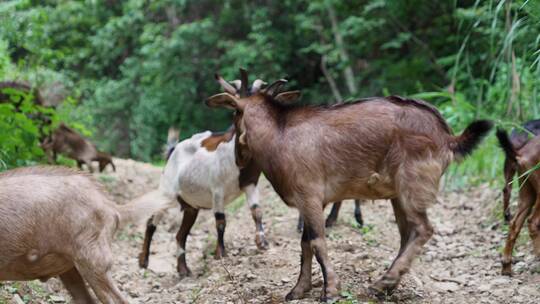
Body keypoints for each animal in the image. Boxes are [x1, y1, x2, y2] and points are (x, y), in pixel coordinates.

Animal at [208, 70, 494, 300]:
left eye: (235, 113)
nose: (238, 157)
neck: (278, 135)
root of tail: (447, 137)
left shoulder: (309, 195)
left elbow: (317, 242)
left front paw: (330, 291)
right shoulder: (311, 201)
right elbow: (304, 244)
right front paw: (298, 289)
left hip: (412, 184)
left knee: (423, 229)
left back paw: (383, 282)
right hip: (399, 195)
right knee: (407, 233)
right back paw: (389, 284)